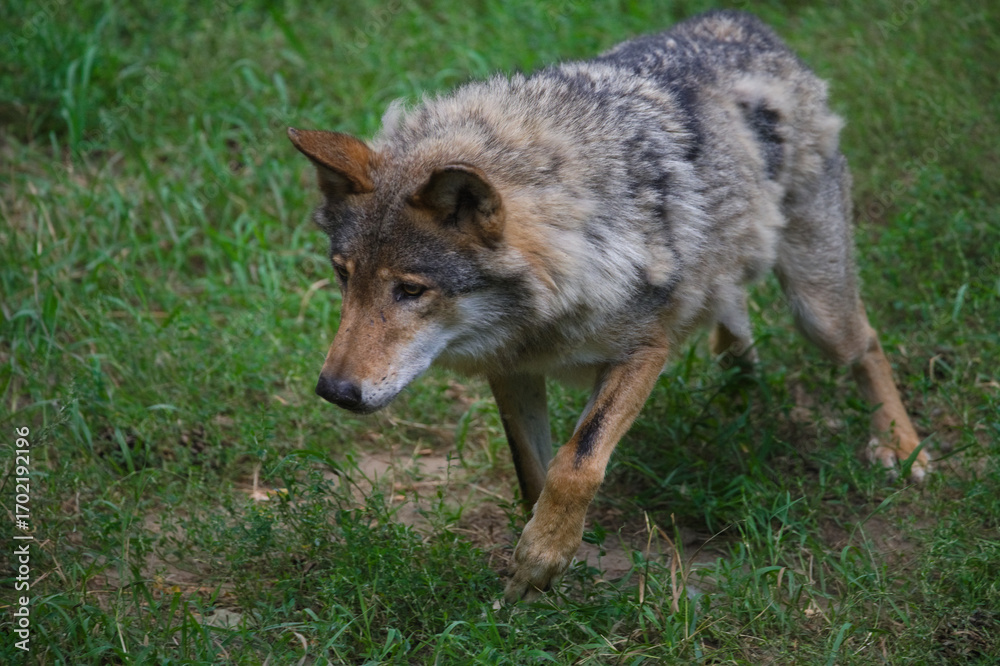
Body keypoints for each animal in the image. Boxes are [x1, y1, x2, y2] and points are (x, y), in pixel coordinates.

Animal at [287, 10, 929, 602]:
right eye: (343, 276)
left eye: (411, 290)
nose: (333, 391)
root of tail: (738, 21)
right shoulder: (511, 372)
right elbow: (534, 474)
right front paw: (545, 570)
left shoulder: (644, 352)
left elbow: (577, 464)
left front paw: (542, 557)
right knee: (733, 316)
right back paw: (738, 377)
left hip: (819, 313)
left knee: (867, 344)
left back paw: (902, 447)